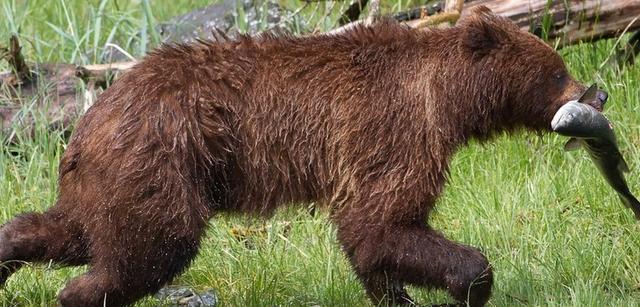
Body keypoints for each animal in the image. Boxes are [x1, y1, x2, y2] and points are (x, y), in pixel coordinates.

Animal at [0, 6, 608, 307]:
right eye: (557, 68)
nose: (596, 94)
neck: (450, 100)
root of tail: (88, 122)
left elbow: (373, 238)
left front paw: (397, 295)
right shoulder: (392, 128)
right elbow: (380, 222)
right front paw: (472, 281)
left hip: (112, 179)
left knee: (74, 230)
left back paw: (9, 251)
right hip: (161, 161)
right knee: (147, 248)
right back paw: (79, 296)